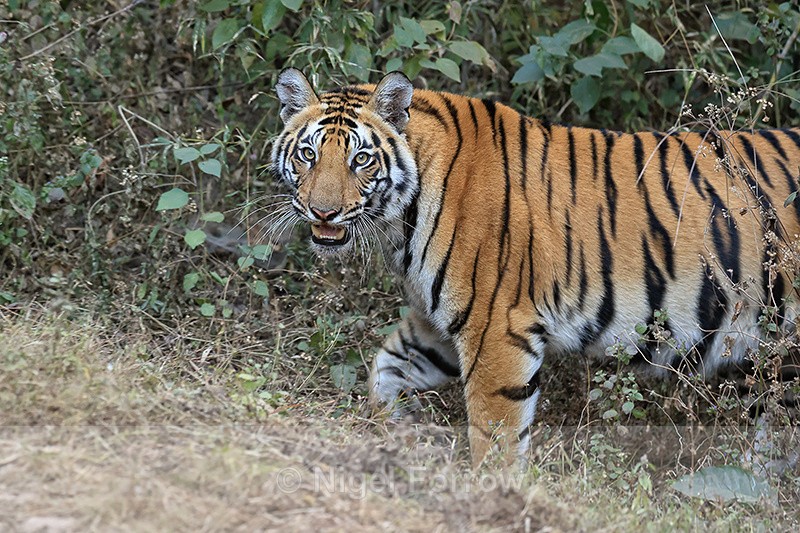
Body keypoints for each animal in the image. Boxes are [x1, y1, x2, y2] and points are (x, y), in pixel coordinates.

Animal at [270, 67, 800, 466]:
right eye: (308, 154)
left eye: (361, 159)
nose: (323, 213)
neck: (400, 223)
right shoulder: (436, 322)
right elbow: (386, 369)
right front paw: (399, 430)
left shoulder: (495, 327)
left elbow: (495, 431)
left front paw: (493, 490)